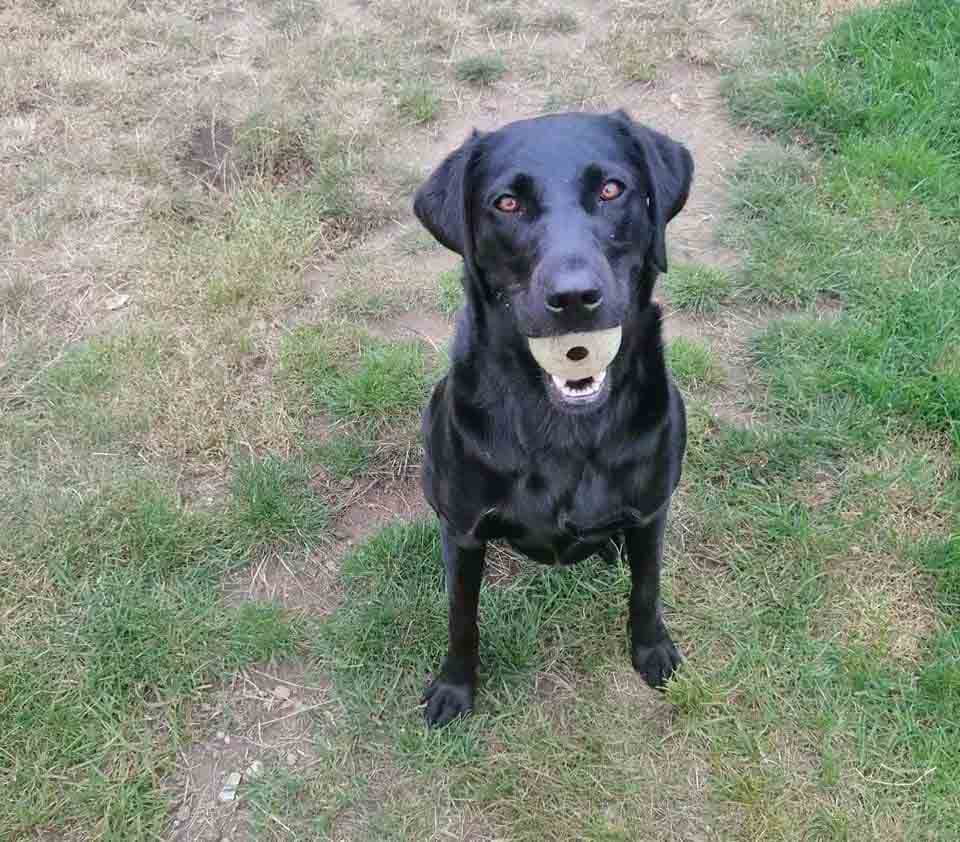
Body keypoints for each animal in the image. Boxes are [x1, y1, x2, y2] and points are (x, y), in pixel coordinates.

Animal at [410, 110, 688, 728]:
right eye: (507, 203)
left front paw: (651, 650)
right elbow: (462, 617)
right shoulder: (465, 532)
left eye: (611, 189)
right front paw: (455, 687)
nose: (575, 297)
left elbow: (647, 588)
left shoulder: (652, 511)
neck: (564, 428)